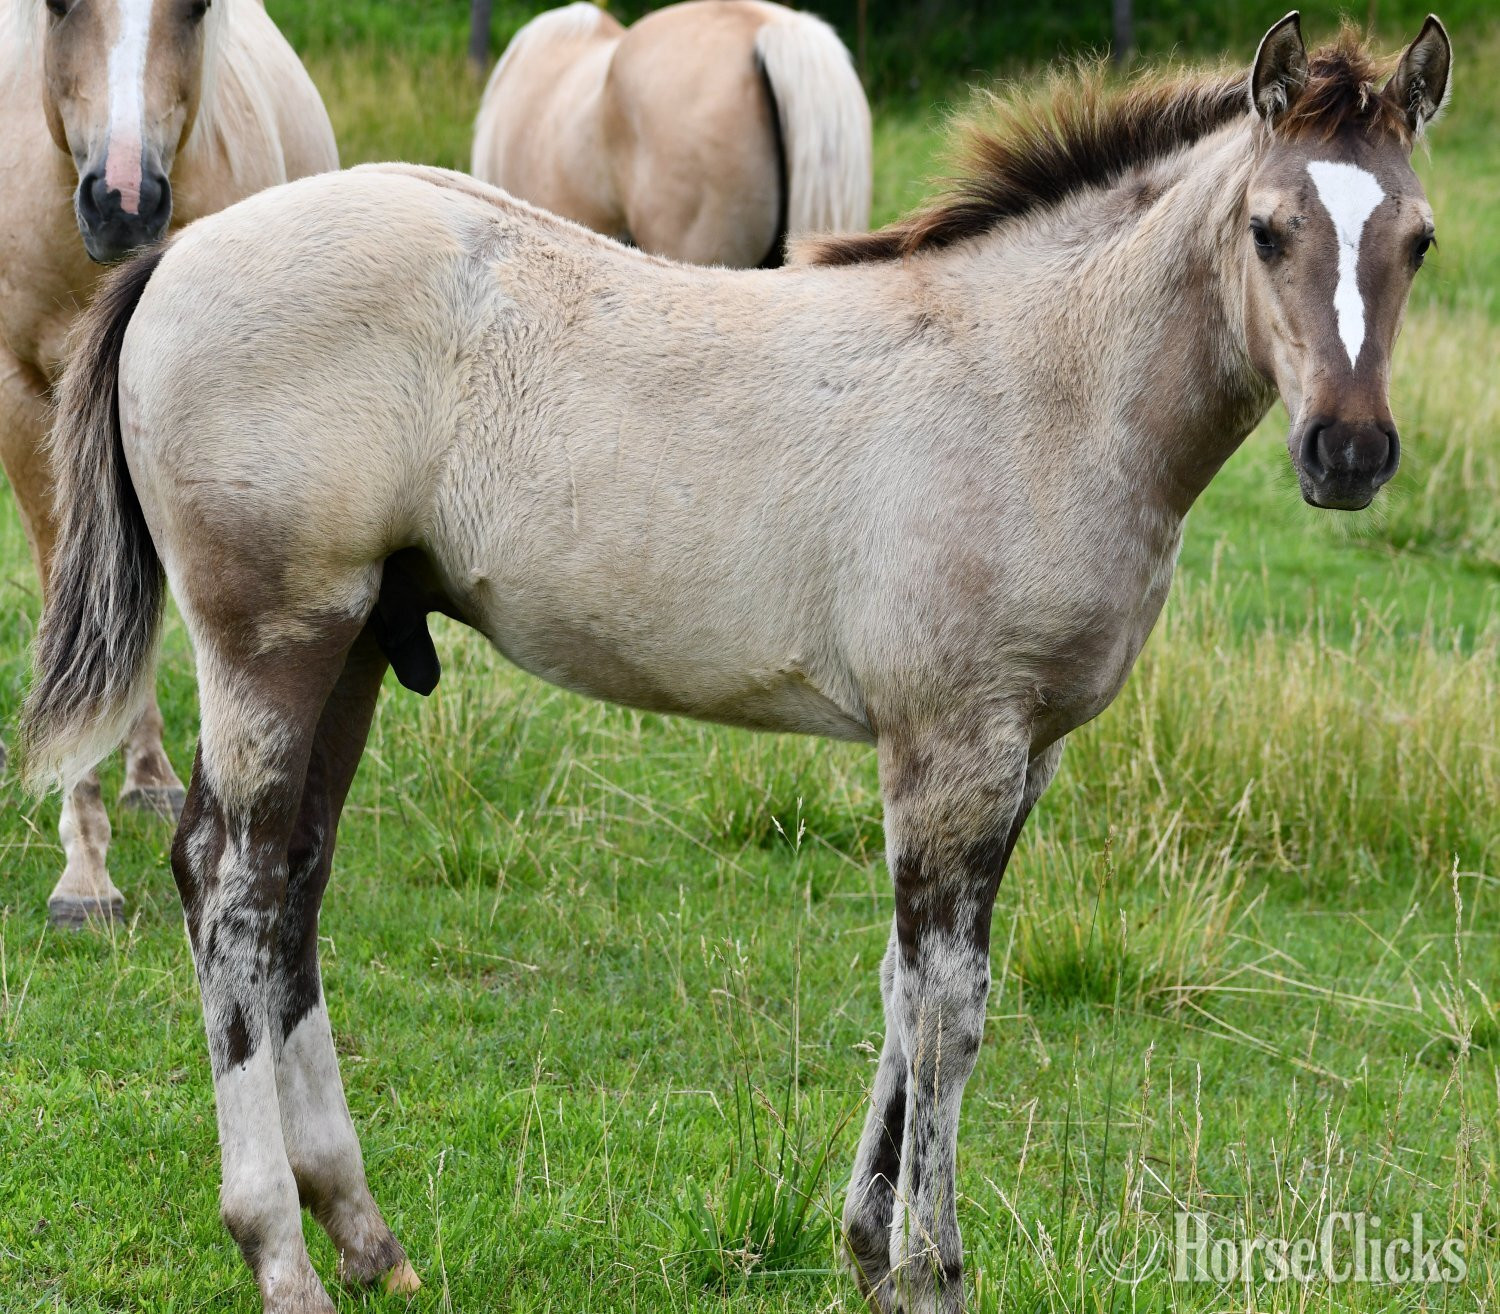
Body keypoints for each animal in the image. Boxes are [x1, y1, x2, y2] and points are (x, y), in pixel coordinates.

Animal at [0, 0, 337, 926]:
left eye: (196, 9)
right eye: (57, 7)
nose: (124, 202)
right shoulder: (21, 401)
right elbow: (69, 606)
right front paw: (84, 873)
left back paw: (149, 776)